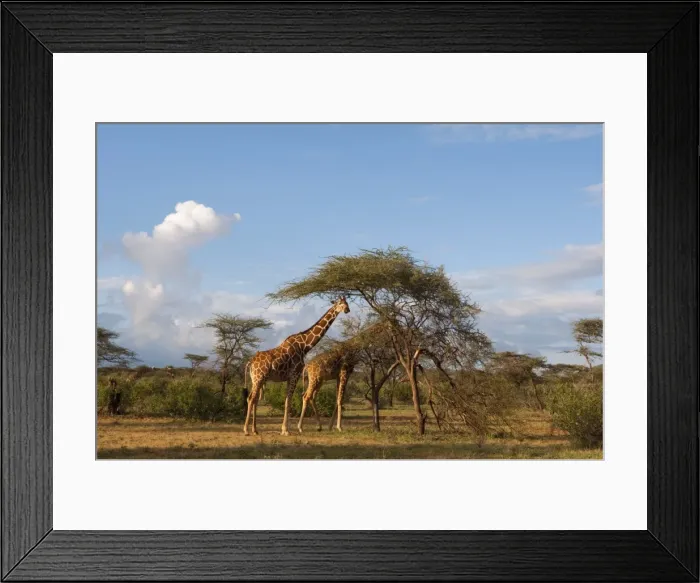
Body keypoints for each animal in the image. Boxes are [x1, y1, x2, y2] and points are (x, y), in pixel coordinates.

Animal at [243, 297, 350, 436]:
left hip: (257, 379)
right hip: (259, 377)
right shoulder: (295, 374)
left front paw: (284, 429)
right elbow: (288, 401)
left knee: (253, 399)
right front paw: (286, 430)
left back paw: (255, 430)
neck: (305, 346)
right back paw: (246, 430)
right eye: (340, 304)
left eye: (347, 303)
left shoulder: (290, 377)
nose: (347, 310)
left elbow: (287, 401)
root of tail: (250, 362)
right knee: (251, 398)